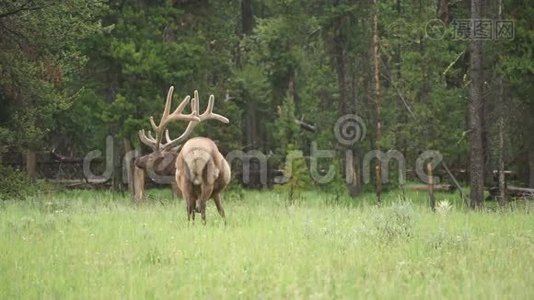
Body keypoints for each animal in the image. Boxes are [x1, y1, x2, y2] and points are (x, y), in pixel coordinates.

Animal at [136, 85, 230, 224]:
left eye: (152, 155)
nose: (137, 160)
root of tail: (196, 154)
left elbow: (219, 211)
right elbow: (222, 212)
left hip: (188, 183)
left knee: (195, 208)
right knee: (198, 208)